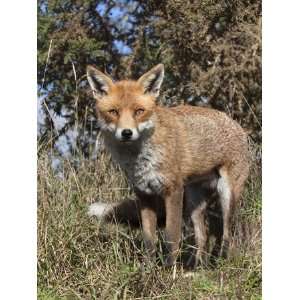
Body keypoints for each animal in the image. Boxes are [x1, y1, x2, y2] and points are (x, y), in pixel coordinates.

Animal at [86, 63, 248, 268]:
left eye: (139, 111)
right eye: (113, 112)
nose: (127, 133)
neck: (139, 159)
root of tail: (236, 123)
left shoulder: (173, 190)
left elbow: (171, 236)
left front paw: (169, 270)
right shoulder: (144, 194)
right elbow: (149, 239)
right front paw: (148, 270)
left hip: (227, 195)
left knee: (227, 235)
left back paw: (221, 265)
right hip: (194, 202)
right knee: (202, 236)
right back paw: (196, 269)